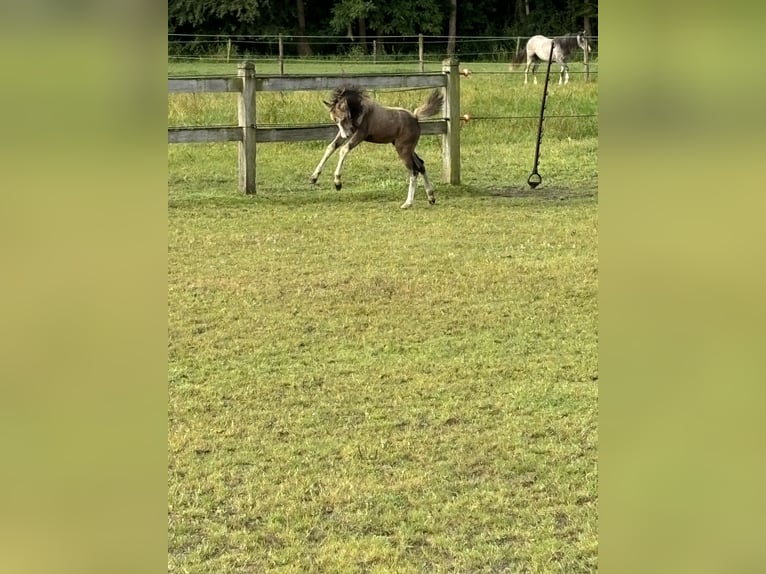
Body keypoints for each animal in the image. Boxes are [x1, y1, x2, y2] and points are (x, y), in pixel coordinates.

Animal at [310, 84, 444, 210]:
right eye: (335, 120)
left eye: (344, 118)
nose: (346, 135)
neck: (361, 111)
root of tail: (415, 117)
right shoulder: (347, 132)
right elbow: (331, 147)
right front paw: (313, 178)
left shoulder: (360, 135)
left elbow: (344, 150)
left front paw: (337, 183)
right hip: (407, 148)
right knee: (421, 165)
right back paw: (431, 197)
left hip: (403, 150)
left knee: (413, 170)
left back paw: (407, 203)